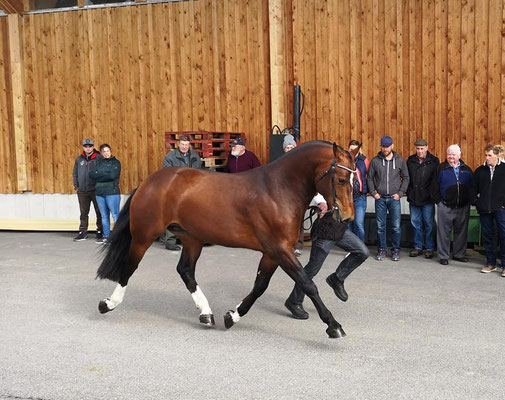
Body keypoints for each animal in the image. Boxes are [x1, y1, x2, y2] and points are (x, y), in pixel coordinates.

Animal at [96, 141, 356, 338]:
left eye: (355, 180)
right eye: (342, 180)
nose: (347, 217)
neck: (278, 190)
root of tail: (149, 182)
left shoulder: (272, 253)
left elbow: (260, 286)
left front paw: (232, 316)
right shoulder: (279, 249)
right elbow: (307, 283)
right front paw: (333, 325)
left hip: (192, 238)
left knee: (185, 271)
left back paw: (205, 313)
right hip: (144, 236)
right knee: (130, 266)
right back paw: (109, 303)